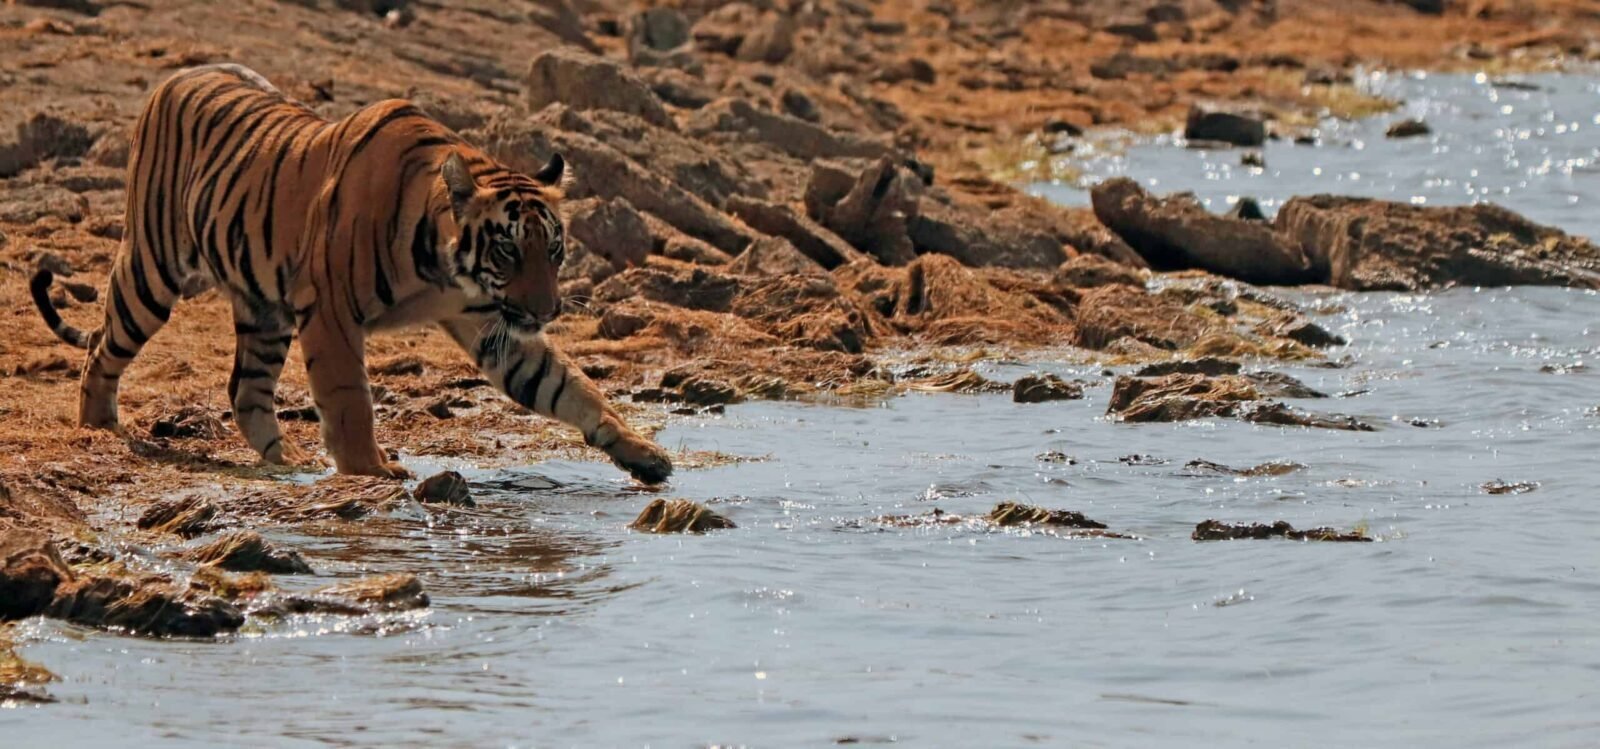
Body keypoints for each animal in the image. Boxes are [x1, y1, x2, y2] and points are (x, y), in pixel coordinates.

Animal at [29, 63, 673, 484]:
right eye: (509, 250)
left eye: (554, 250)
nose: (546, 312)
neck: (446, 271)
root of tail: (180, 74)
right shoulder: (331, 308)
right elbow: (348, 397)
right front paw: (370, 468)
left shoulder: (494, 326)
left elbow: (571, 387)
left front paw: (641, 453)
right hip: (152, 268)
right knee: (102, 351)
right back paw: (97, 426)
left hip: (263, 308)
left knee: (246, 388)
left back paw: (286, 460)